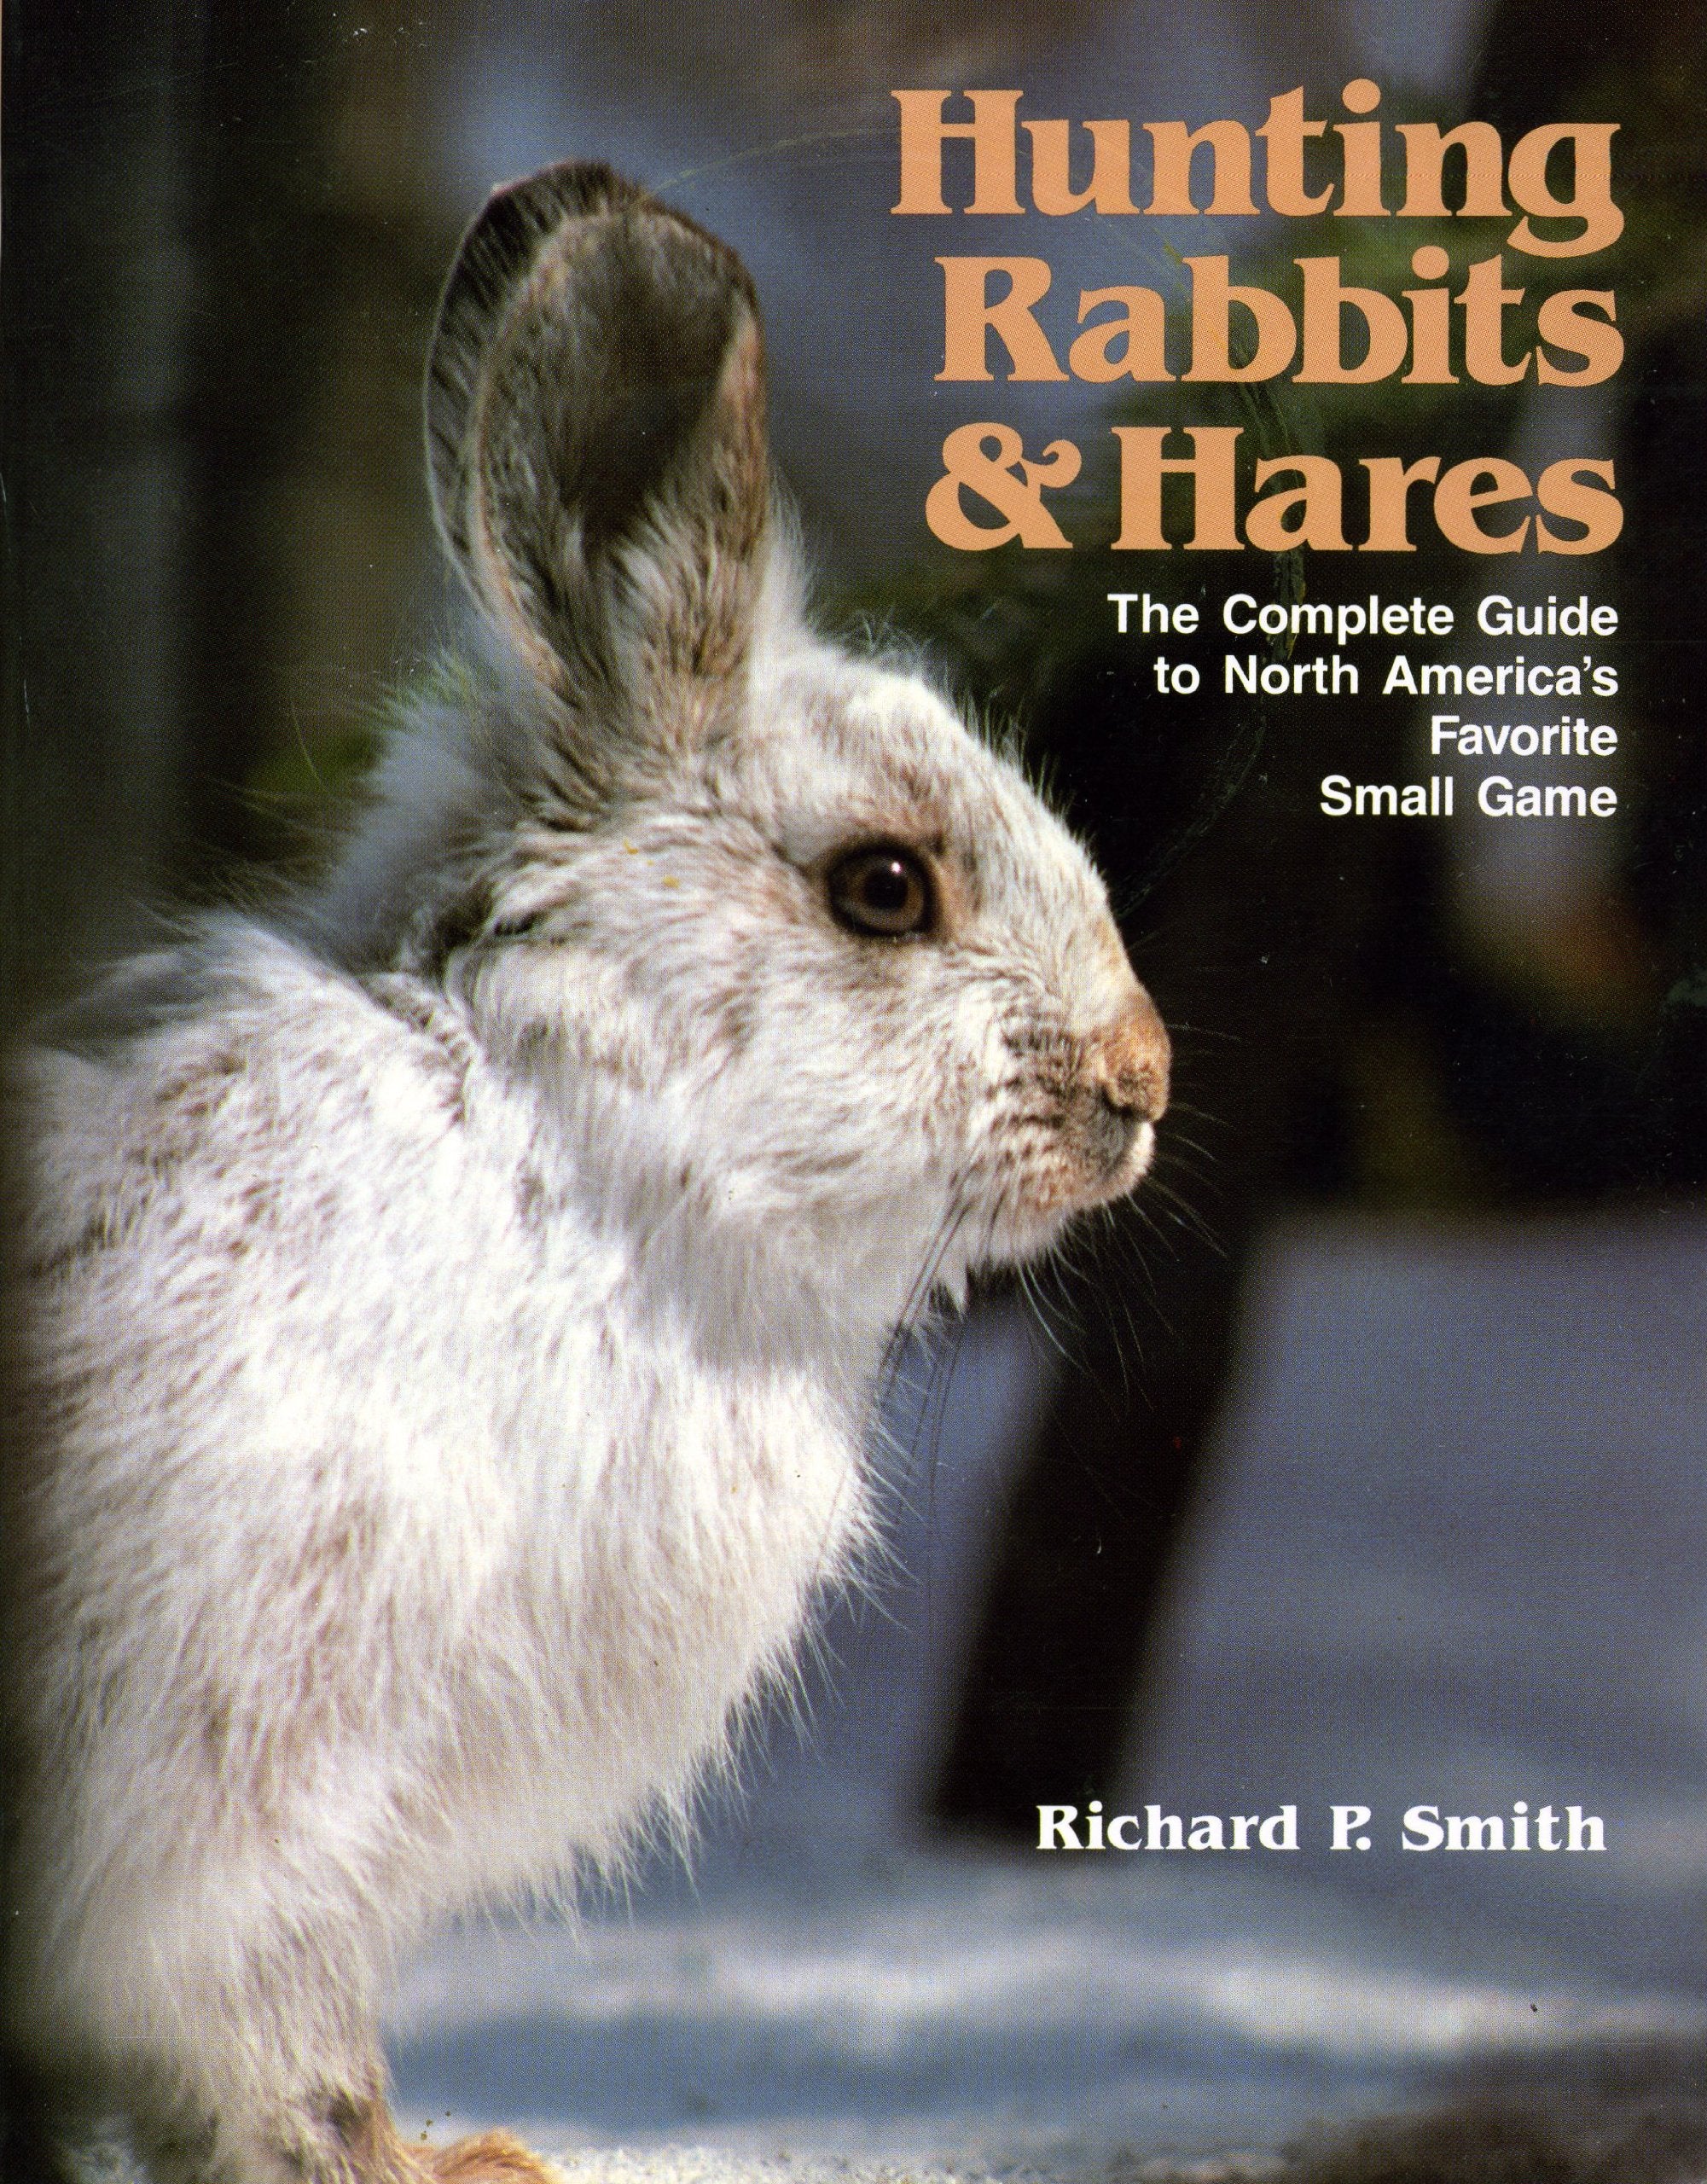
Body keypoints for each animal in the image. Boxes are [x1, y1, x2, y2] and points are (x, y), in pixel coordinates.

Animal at [1, 163, 1169, 2184]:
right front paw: (405, 2167)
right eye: (883, 886)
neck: (570, 1167)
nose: (1142, 1081)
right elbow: (267, 2039)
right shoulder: (241, 1792)